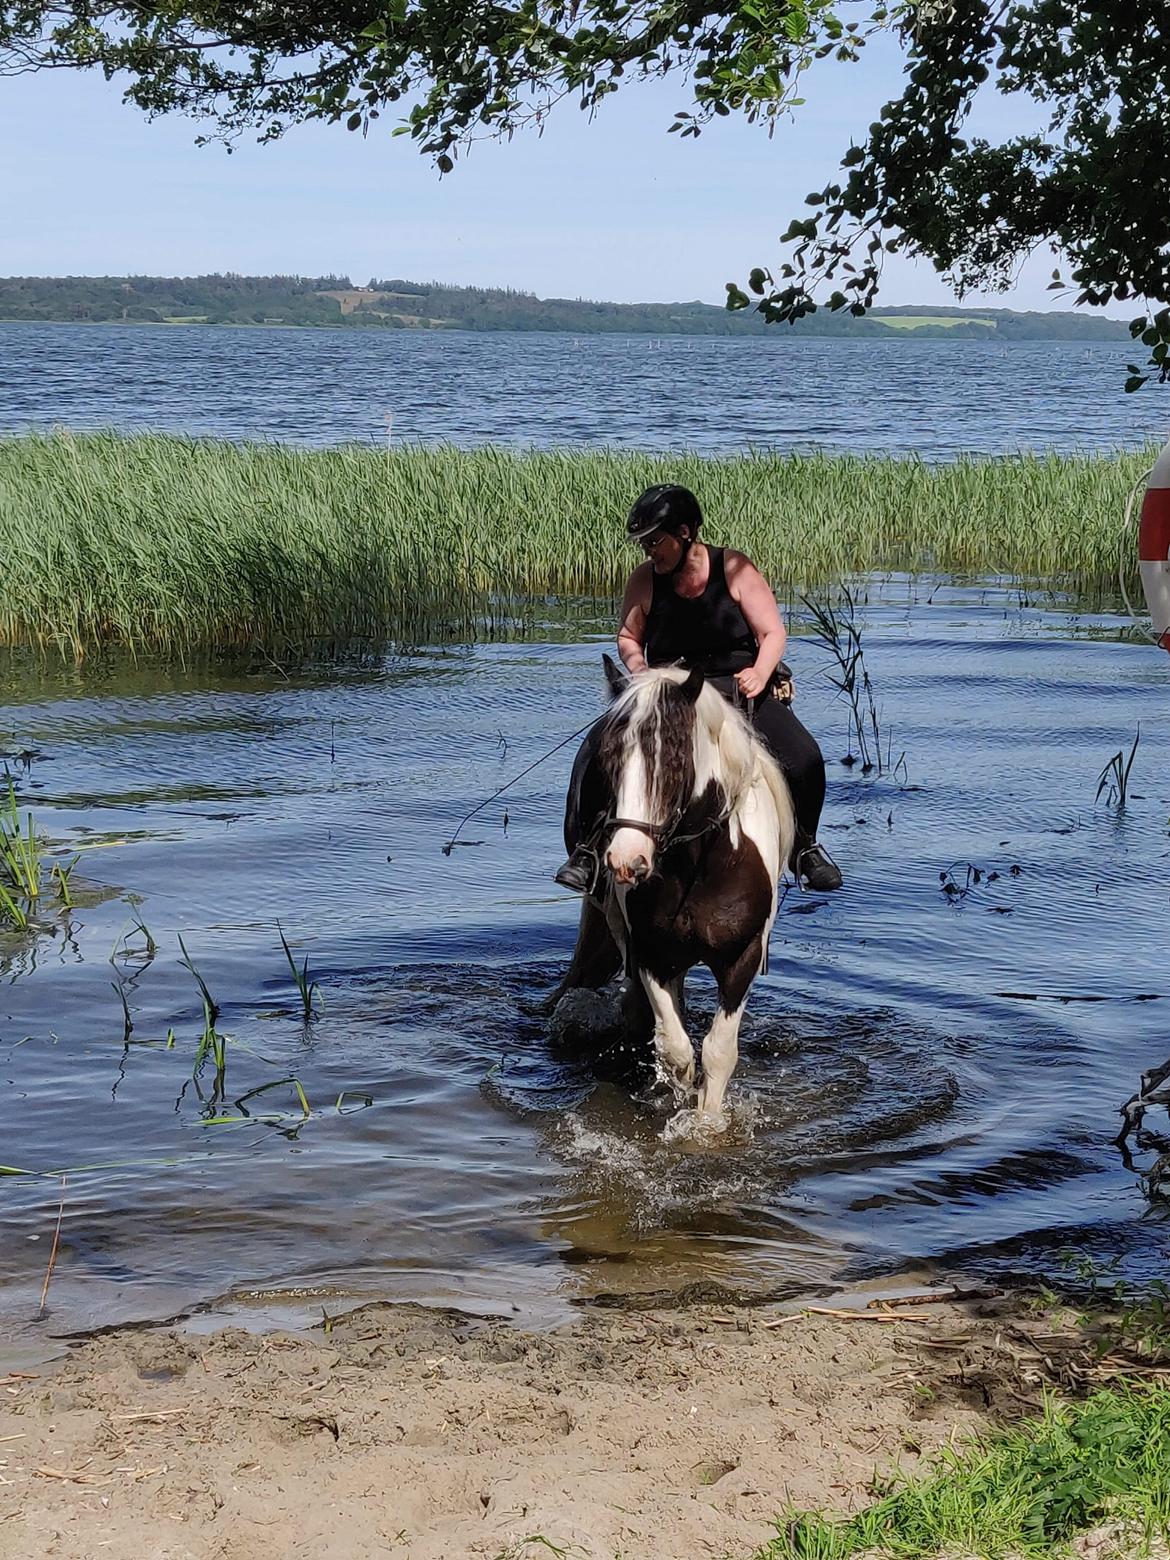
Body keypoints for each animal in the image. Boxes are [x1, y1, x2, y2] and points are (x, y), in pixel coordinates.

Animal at [552, 658, 792, 1123]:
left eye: (676, 758)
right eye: (607, 757)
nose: (626, 860)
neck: (698, 869)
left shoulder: (743, 956)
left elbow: (718, 1052)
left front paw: (707, 1124)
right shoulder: (650, 953)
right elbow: (676, 1049)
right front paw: (676, 1106)